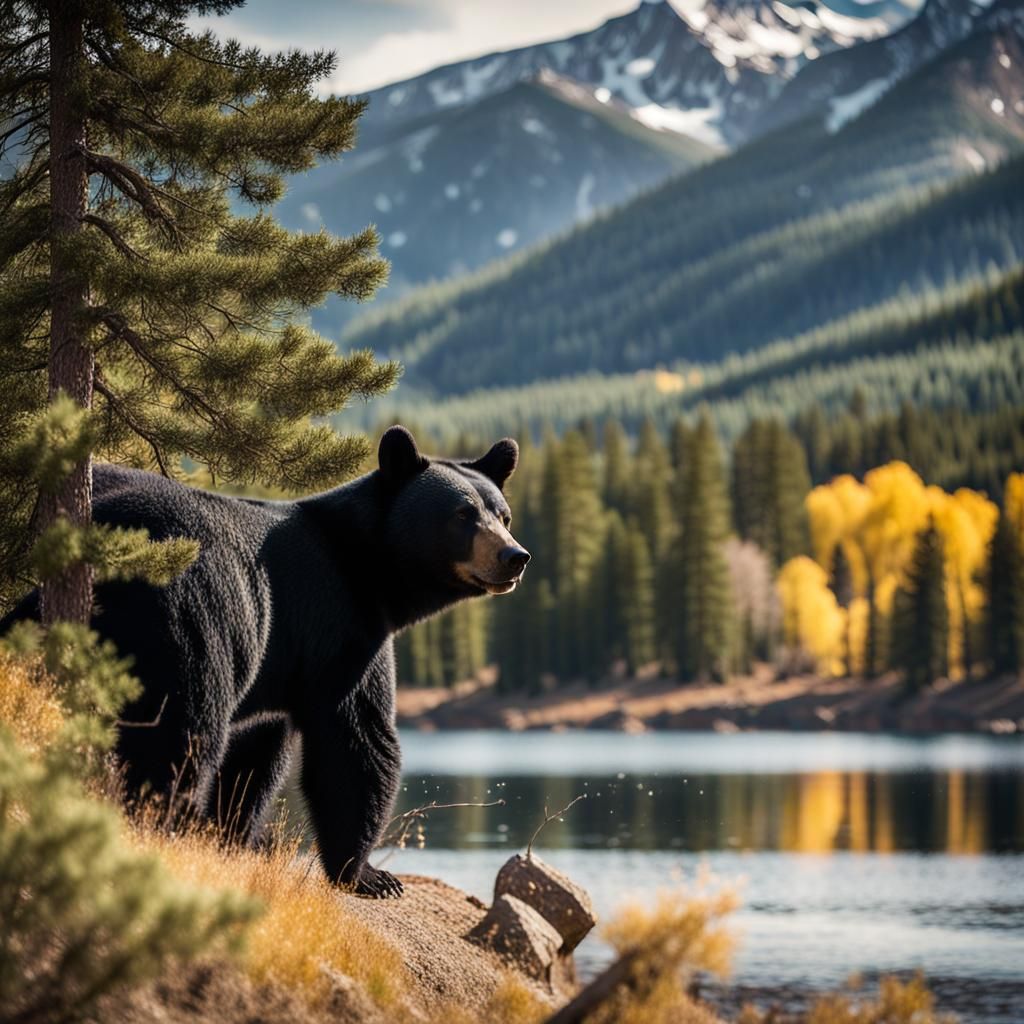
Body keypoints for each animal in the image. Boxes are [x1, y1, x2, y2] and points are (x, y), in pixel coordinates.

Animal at [1, 426, 529, 898]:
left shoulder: (279, 660)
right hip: (194, 616)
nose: (515, 556)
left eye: (502, 514)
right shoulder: (340, 629)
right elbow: (355, 740)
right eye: (462, 514)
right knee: (182, 727)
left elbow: (257, 751)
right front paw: (368, 874)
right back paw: (162, 823)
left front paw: (234, 835)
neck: (369, 571)